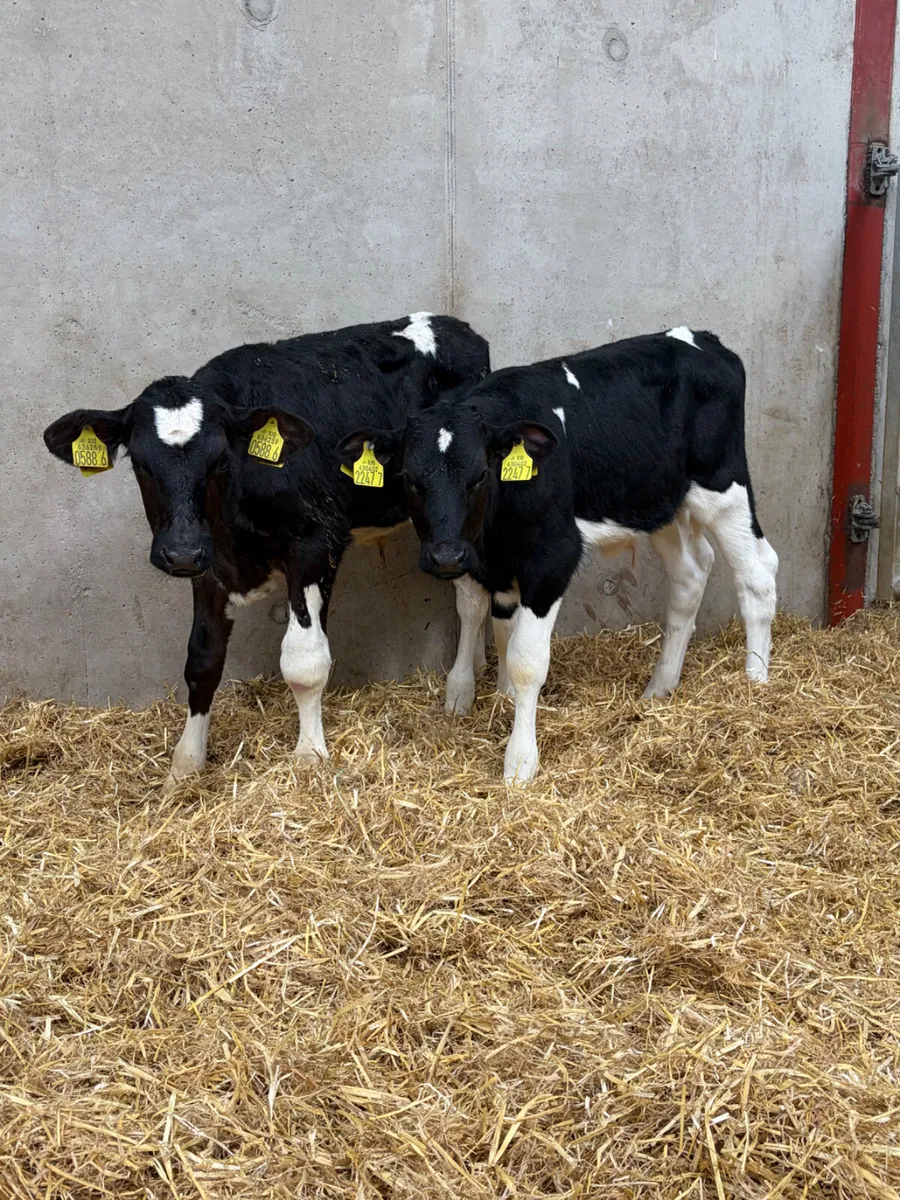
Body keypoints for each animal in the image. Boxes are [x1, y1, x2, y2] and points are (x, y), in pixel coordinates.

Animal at [43, 313, 490, 787]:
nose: (179, 552)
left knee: (472, 601)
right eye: (140, 464)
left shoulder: (315, 544)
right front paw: (185, 765)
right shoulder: (209, 563)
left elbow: (303, 661)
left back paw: (461, 688)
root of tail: (455, 325)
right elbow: (202, 661)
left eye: (219, 460)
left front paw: (309, 755)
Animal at [337, 328, 778, 783]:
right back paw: (659, 688)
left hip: (723, 485)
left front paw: (519, 760)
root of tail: (702, 338)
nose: (443, 556)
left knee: (758, 574)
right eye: (409, 479)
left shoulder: (552, 559)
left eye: (480, 476)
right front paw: (471, 694)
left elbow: (526, 659)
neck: (496, 533)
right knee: (691, 573)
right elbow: (481, 618)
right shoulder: (478, 557)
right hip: (659, 502)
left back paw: (755, 684)